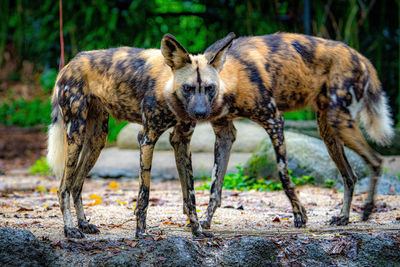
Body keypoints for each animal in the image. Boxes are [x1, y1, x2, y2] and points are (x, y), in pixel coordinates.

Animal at [47, 32, 394, 240]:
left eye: (209, 88)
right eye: (189, 88)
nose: (200, 113)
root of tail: (69, 63)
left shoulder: (192, 137)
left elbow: (197, 192)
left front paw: (199, 229)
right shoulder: (150, 138)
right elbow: (147, 195)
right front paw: (143, 232)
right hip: (79, 134)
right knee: (64, 186)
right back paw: (71, 230)